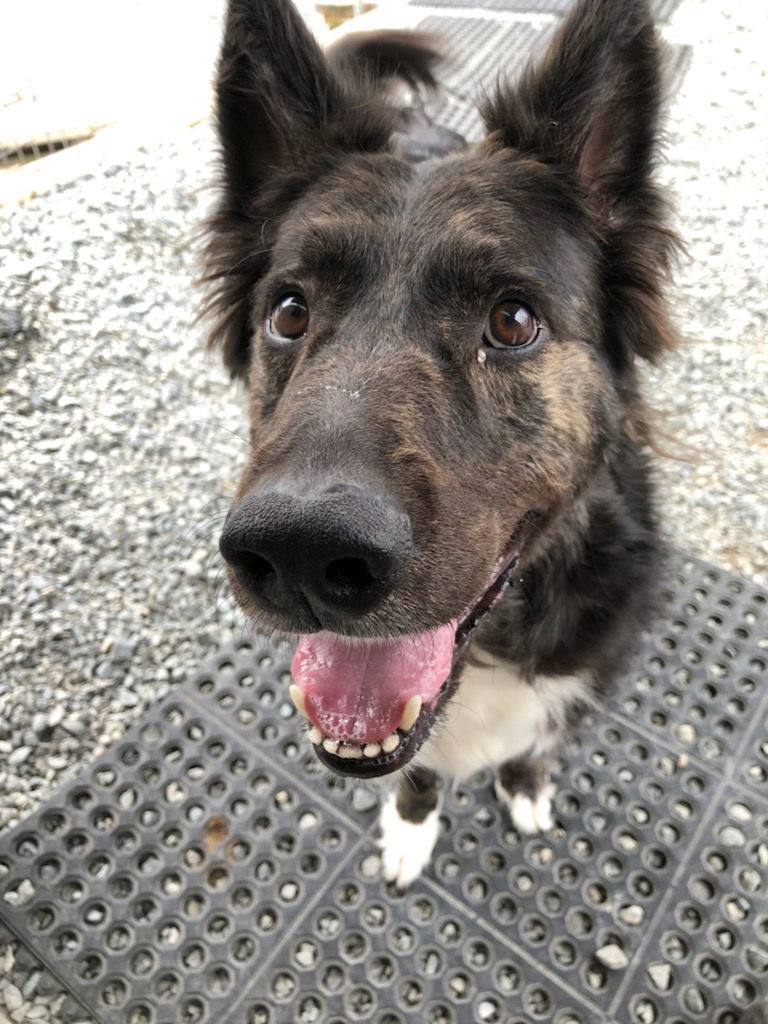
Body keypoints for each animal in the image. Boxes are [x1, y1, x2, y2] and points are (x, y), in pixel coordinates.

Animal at [201, 0, 675, 884]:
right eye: (289, 312)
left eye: (513, 320)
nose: (300, 554)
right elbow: (416, 768)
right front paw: (411, 828)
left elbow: (533, 744)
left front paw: (525, 786)